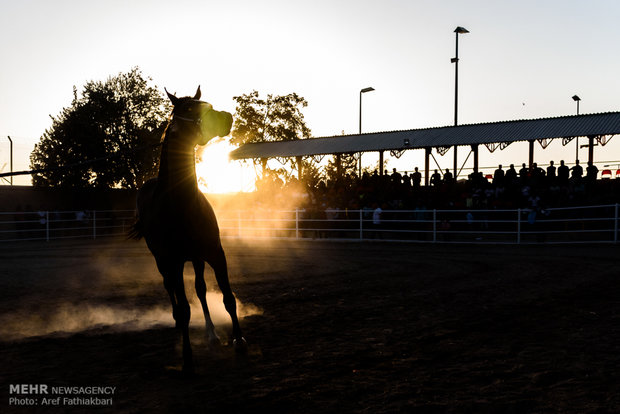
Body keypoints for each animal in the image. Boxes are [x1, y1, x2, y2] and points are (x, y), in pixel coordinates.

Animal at [131, 85, 245, 374]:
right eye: (190, 110)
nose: (228, 117)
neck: (181, 204)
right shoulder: (172, 262)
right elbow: (184, 309)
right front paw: (187, 358)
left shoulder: (215, 254)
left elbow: (227, 297)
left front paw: (238, 340)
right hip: (163, 262)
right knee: (171, 289)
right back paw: (176, 321)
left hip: (196, 258)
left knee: (201, 290)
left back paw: (212, 334)